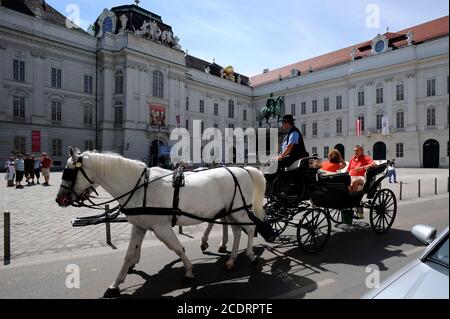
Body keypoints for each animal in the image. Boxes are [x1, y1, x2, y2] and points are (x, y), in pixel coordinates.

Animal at [56, 149, 268, 298]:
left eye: (68, 173)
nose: (59, 199)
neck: (139, 187)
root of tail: (242, 168)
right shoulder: (139, 226)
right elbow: (130, 254)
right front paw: (115, 284)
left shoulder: (161, 228)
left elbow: (178, 248)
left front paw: (189, 272)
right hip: (231, 212)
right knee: (237, 231)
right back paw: (231, 260)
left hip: (240, 211)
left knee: (250, 229)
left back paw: (250, 255)